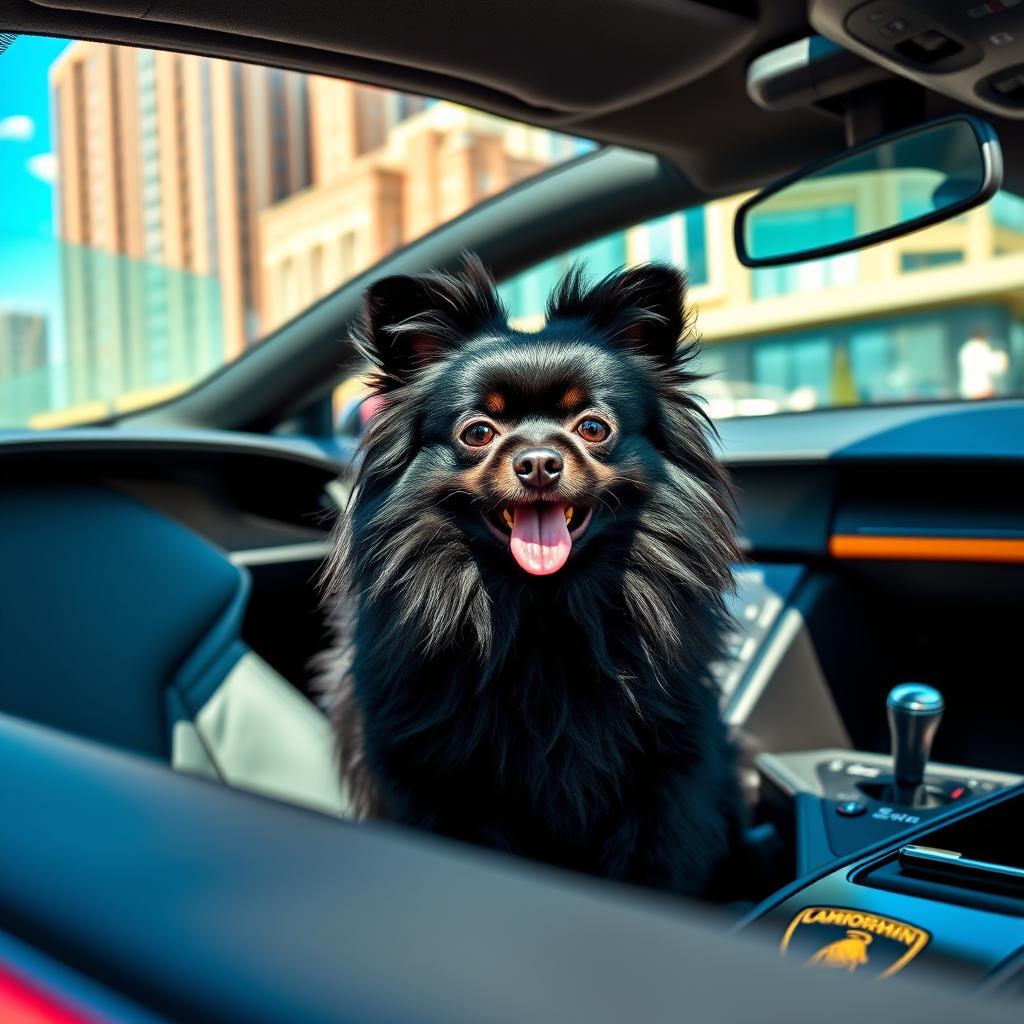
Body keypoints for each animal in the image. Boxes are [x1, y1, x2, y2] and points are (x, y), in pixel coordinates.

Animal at [319, 253, 745, 897]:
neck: (543, 611)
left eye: (593, 428)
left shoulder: (665, 781)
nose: (539, 461)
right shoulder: (439, 785)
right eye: (478, 432)